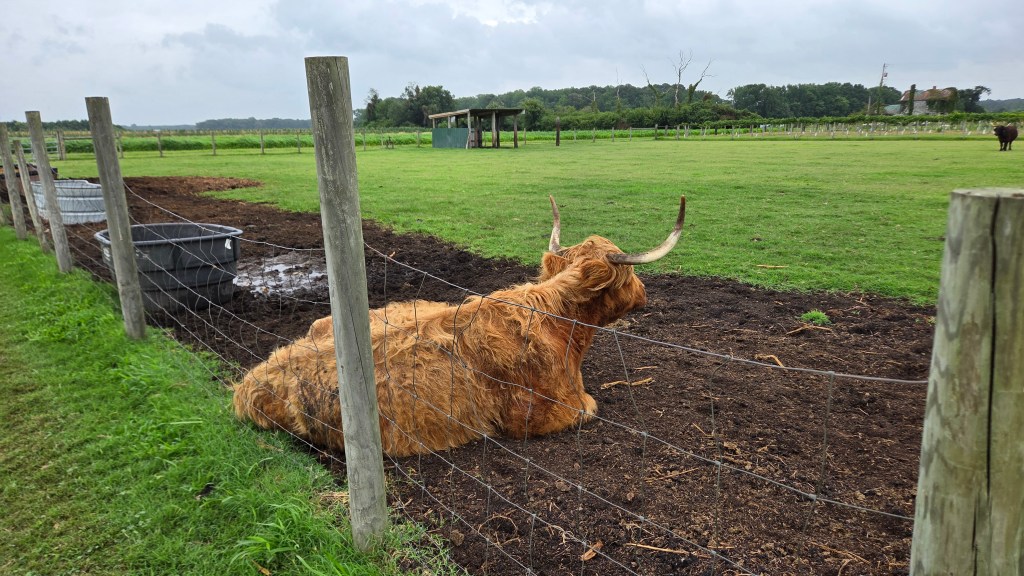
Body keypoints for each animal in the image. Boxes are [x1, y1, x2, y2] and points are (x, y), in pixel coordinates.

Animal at [232, 196, 686, 457]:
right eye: (629, 276)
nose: (644, 294)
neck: (560, 325)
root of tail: (248, 383)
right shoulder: (554, 412)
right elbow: (591, 407)